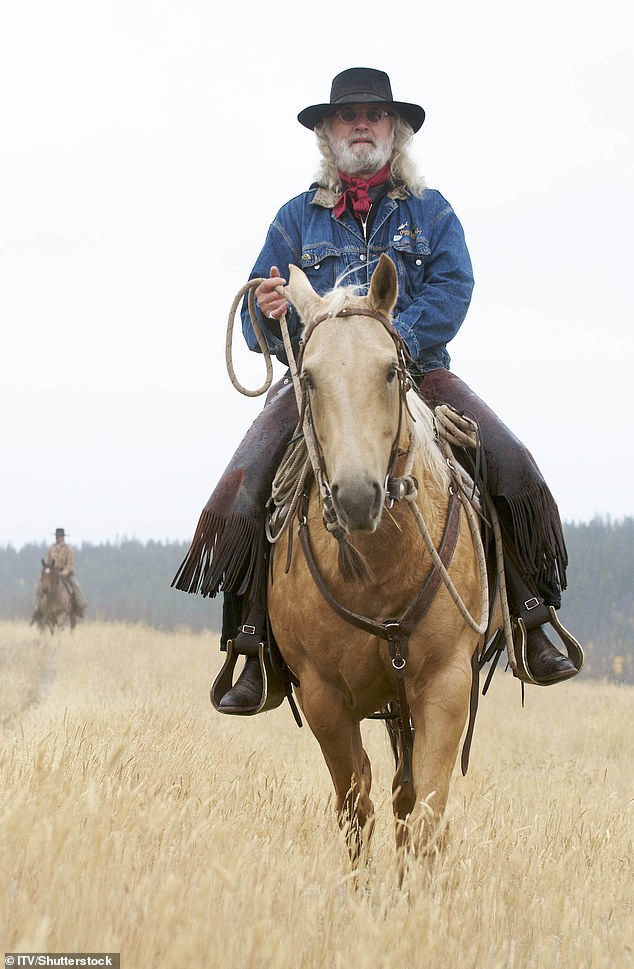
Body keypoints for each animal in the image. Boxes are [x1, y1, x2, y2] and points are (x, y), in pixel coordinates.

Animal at [270, 253, 486, 864]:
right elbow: (355, 809)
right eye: (309, 377)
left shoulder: (445, 684)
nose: (356, 496)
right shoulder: (322, 697)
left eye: (391, 369)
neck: (383, 567)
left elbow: (426, 814)